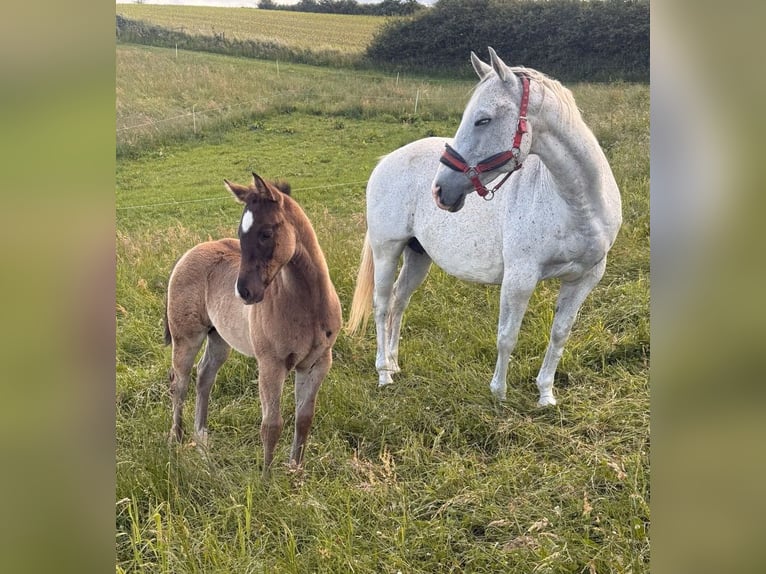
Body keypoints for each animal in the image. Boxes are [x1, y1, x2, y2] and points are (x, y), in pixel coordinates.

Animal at [164, 173, 342, 470]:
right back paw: (176, 439)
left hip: (219, 337)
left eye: (266, 233)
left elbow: (303, 420)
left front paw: (295, 472)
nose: (244, 292)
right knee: (180, 382)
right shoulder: (271, 364)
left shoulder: (317, 363)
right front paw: (266, 480)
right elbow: (271, 427)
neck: (309, 306)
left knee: (204, 376)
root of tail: (190, 252)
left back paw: (202, 439)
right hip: (186, 337)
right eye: (240, 234)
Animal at [347, 48, 622, 407]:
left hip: (417, 255)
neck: (577, 205)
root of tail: (385, 162)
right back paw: (383, 373)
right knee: (381, 304)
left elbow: (560, 334)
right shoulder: (520, 278)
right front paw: (499, 394)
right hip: (387, 249)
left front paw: (545, 394)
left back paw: (394, 364)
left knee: (398, 301)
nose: (440, 191)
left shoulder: (585, 278)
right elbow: (507, 335)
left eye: (483, 119)